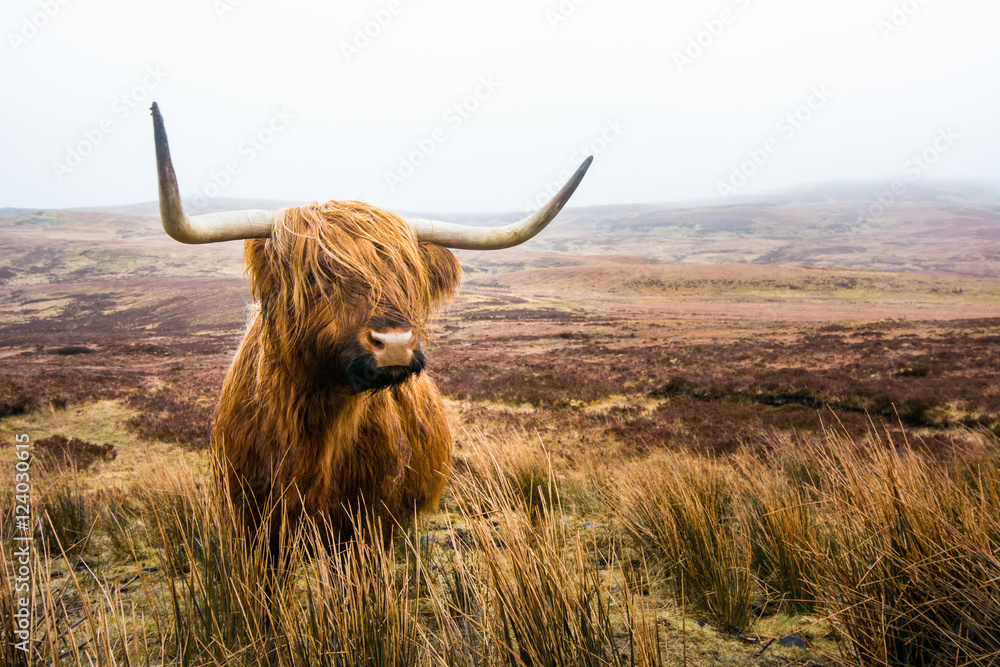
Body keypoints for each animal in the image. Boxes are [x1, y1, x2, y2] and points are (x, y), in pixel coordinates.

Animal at [152, 100, 588, 548]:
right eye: (316, 277)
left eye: (409, 277)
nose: (394, 343)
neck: (316, 427)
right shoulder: (250, 523)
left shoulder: (373, 522)